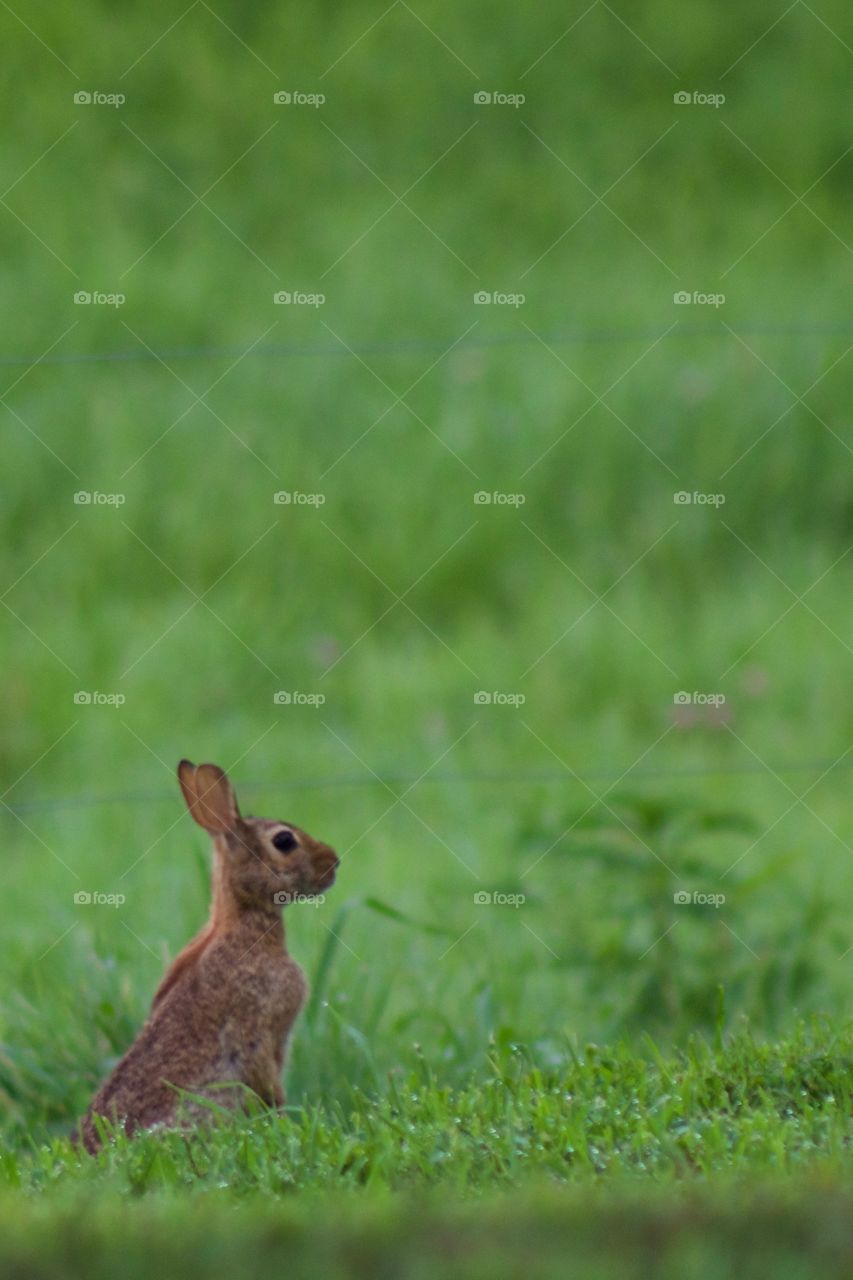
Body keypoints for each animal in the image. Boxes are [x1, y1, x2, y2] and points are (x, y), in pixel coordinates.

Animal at [75, 752, 335, 1157]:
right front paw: (282, 1119)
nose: (334, 862)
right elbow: (263, 1074)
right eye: (284, 840)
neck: (241, 919)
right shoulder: (258, 1029)